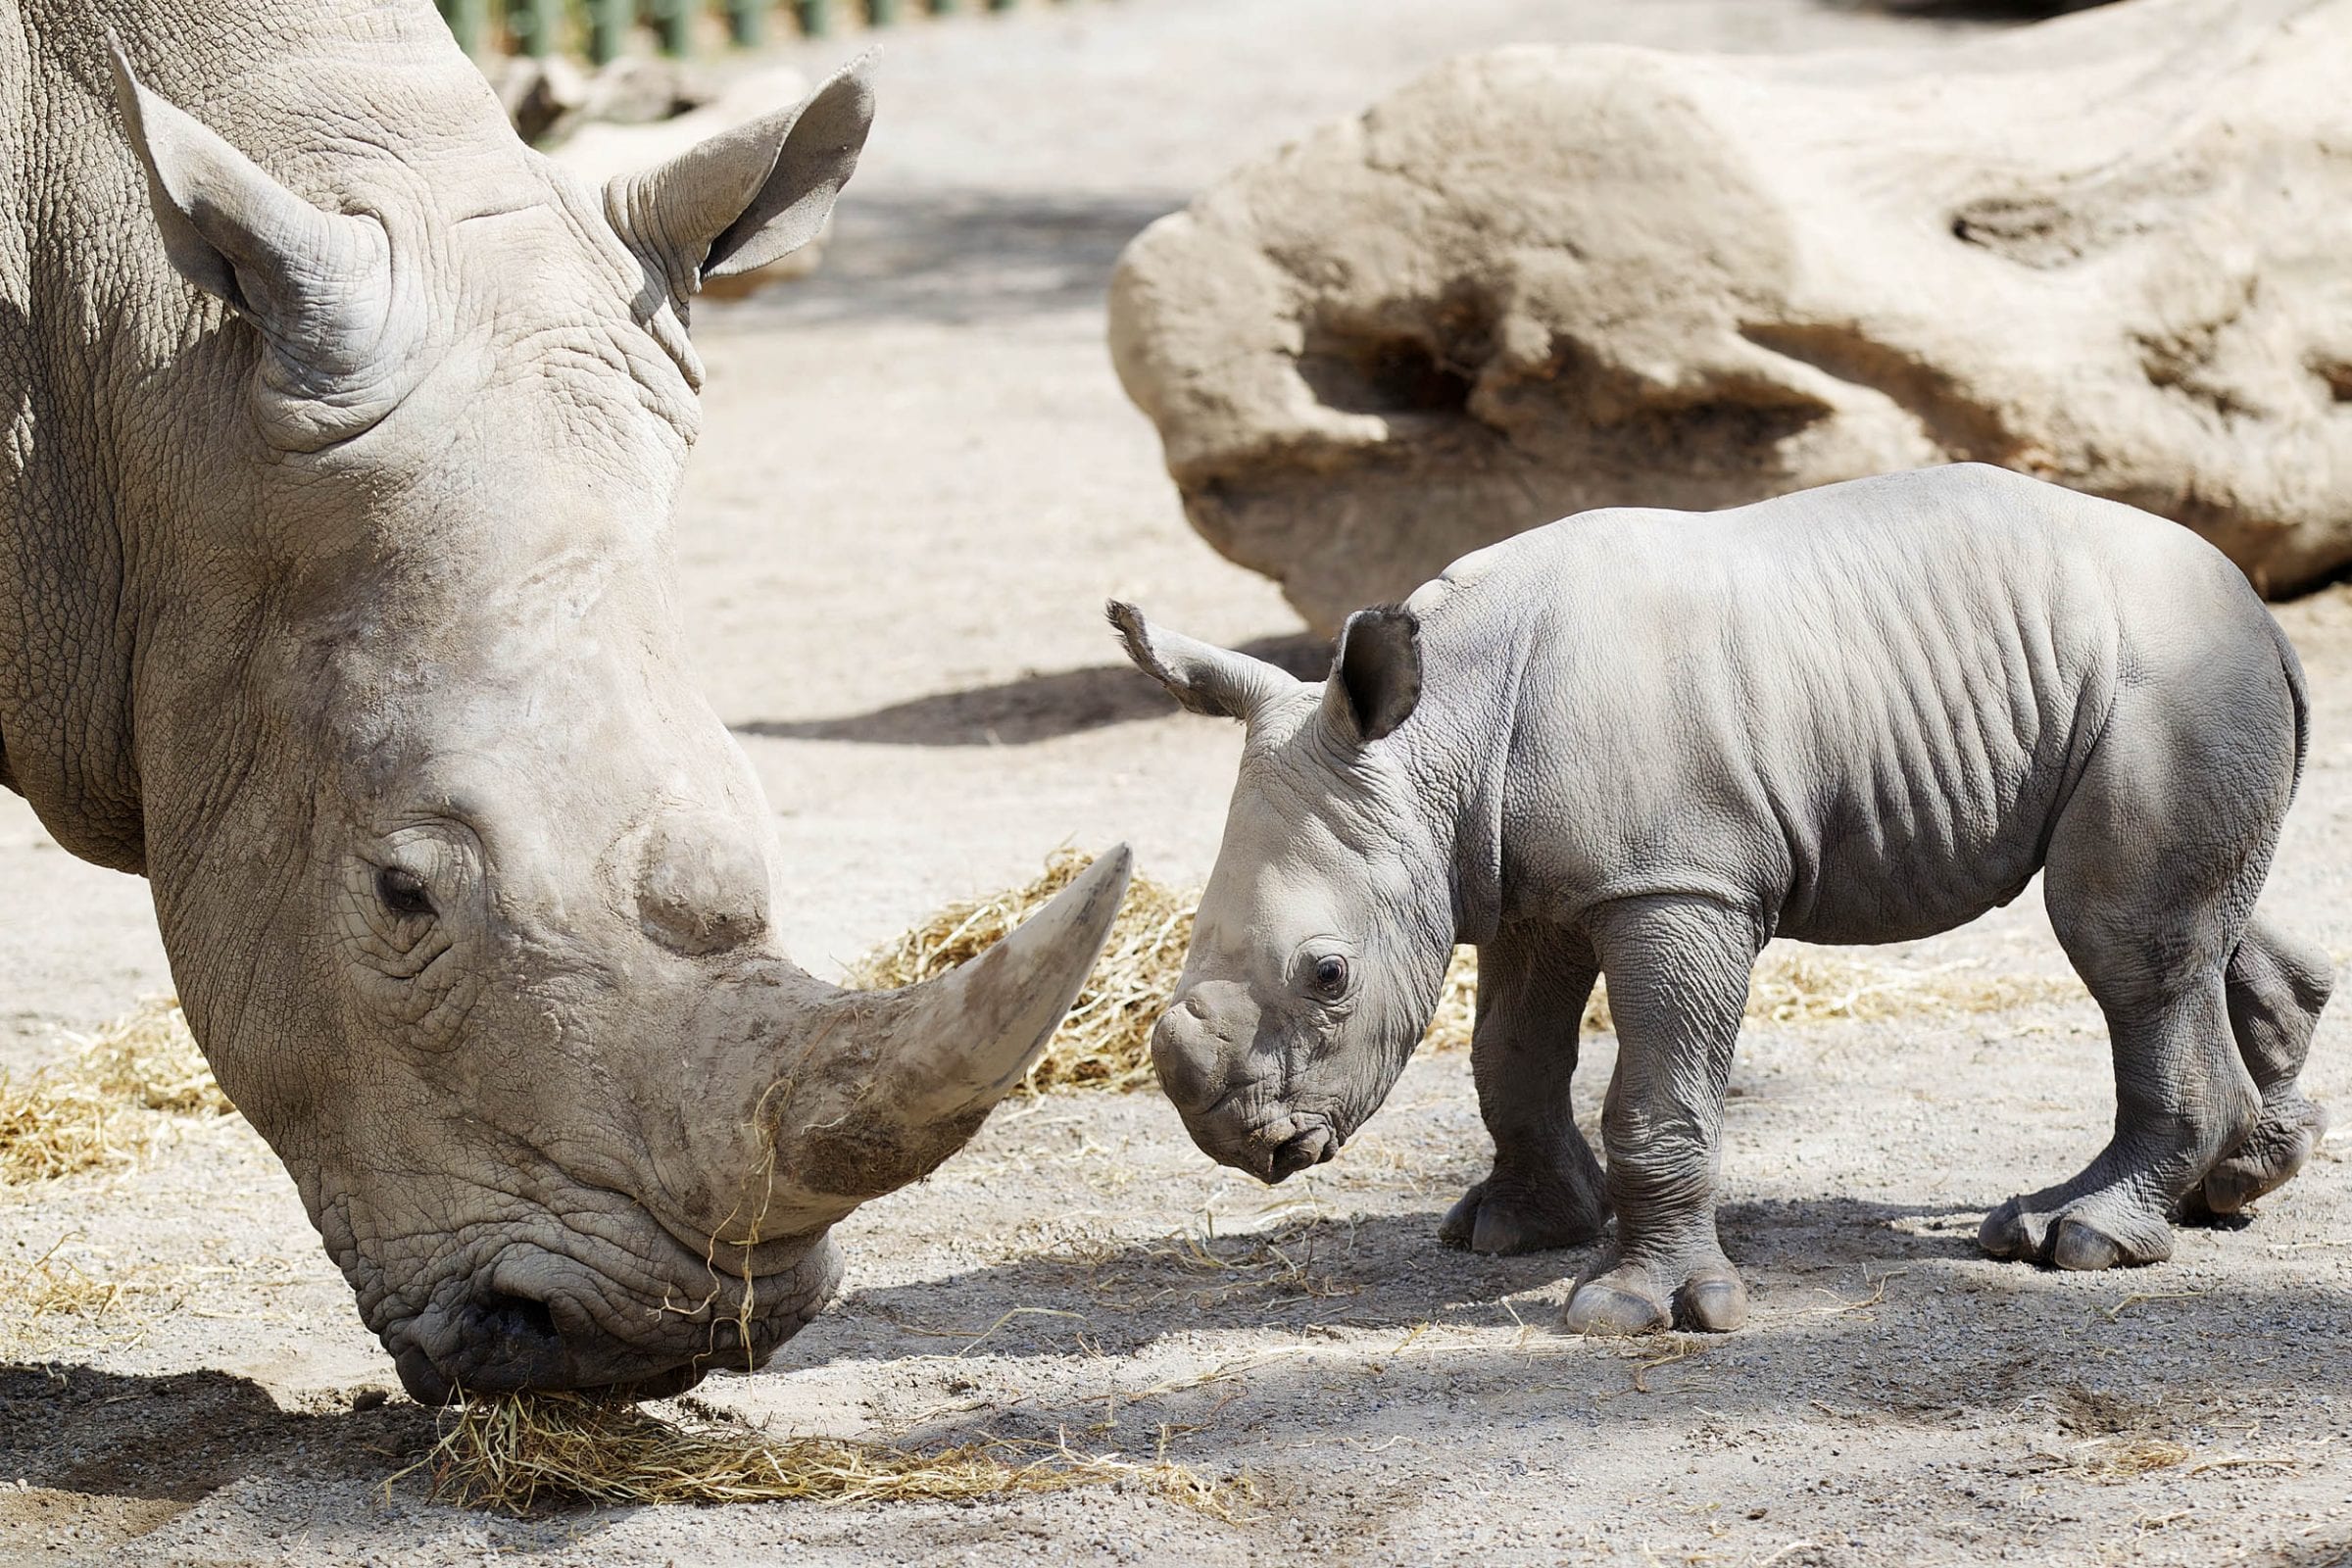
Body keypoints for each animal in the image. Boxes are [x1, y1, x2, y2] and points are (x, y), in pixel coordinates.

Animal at [1112, 463, 2331, 1335]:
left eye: (1328, 975)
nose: (1232, 1139)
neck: (1441, 734)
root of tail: (2263, 612)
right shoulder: (1534, 885)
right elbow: (1509, 1060)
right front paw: (1519, 1231)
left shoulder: (1678, 883)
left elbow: (1654, 1096)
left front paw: (1628, 1309)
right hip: (2154, 680)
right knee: (2198, 928)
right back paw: (2236, 1179)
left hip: (2167, 679)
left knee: (2121, 942)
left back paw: (2072, 1237)